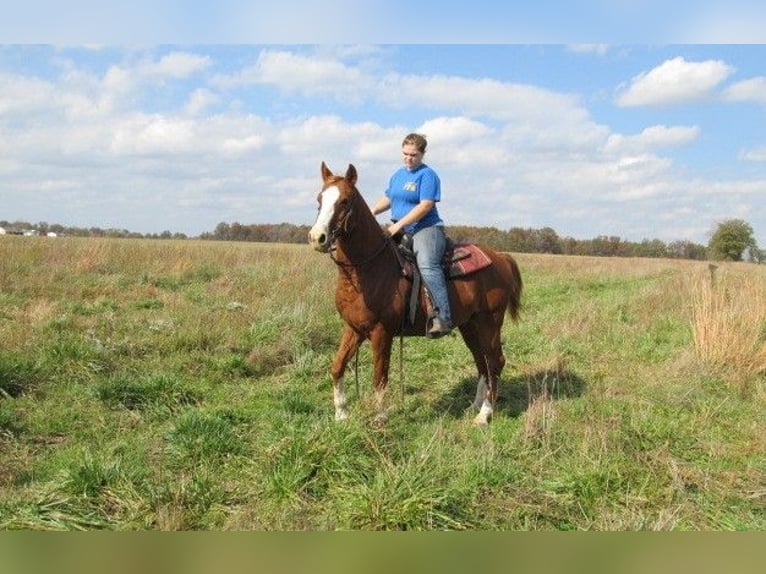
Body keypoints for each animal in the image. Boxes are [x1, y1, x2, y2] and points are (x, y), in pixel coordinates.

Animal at [308, 162, 524, 428]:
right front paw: (341, 413)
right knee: (481, 361)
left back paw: (484, 414)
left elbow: (380, 376)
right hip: (470, 325)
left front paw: (380, 417)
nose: (317, 237)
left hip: (490, 322)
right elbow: (337, 366)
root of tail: (500, 258)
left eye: (345, 201)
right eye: (320, 198)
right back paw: (474, 406)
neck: (368, 267)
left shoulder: (382, 332)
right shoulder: (354, 328)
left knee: (495, 361)